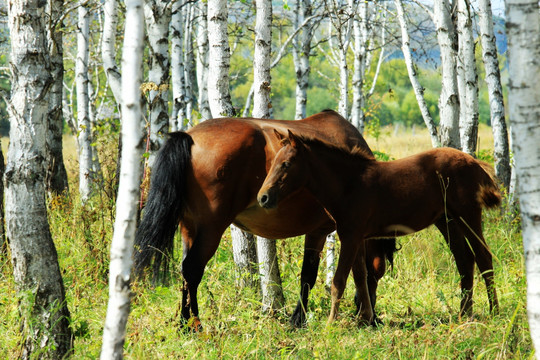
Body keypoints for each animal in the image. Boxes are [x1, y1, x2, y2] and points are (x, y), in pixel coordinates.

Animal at [258, 131, 502, 324]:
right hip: (447, 220)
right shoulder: (356, 237)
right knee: (465, 260)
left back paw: (494, 312)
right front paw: (364, 319)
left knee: (483, 256)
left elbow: (339, 281)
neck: (348, 184)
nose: (263, 198)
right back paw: (464, 314)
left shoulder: (350, 236)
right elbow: (360, 277)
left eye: (286, 164)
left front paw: (330, 325)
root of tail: (475, 163)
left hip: (467, 215)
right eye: (274, 161)